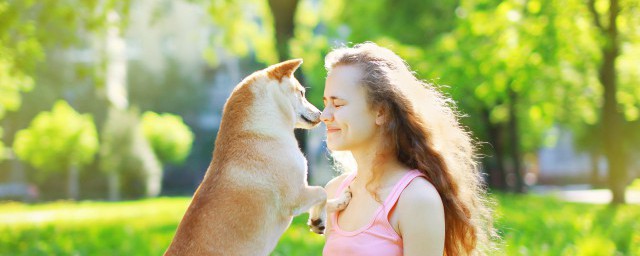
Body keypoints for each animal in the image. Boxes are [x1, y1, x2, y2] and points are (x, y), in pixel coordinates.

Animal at [165, 59, 352, 255]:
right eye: (301, 93)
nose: (320, 114)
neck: (257, 132)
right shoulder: (296, 196)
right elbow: (322, 192)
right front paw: (319, 217)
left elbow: (326, 199)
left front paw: (336, 205)